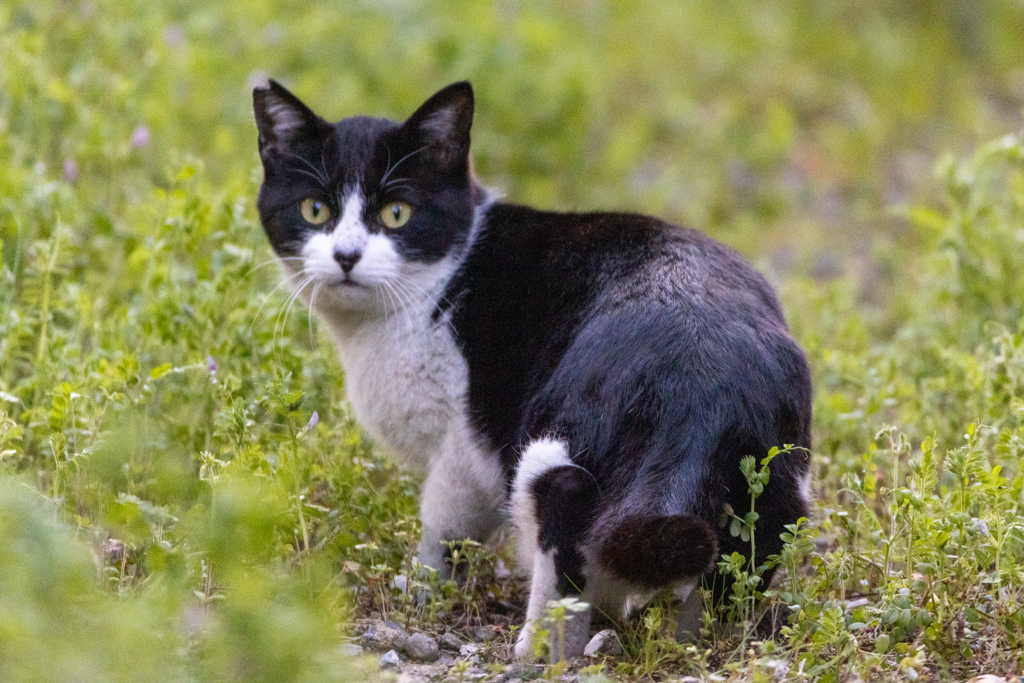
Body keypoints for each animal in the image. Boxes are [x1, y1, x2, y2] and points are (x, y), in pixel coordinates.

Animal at [251, 78, 811, 655]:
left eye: (396, 214)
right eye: (315, 210)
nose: (345, 256)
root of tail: (697, 371)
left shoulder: (462, 445)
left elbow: (443, 527)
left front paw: (425, 591)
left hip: (551, 436)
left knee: (565, 511)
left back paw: (539, 649)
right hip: (770, 470)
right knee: (753, 539)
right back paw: (691, 638)